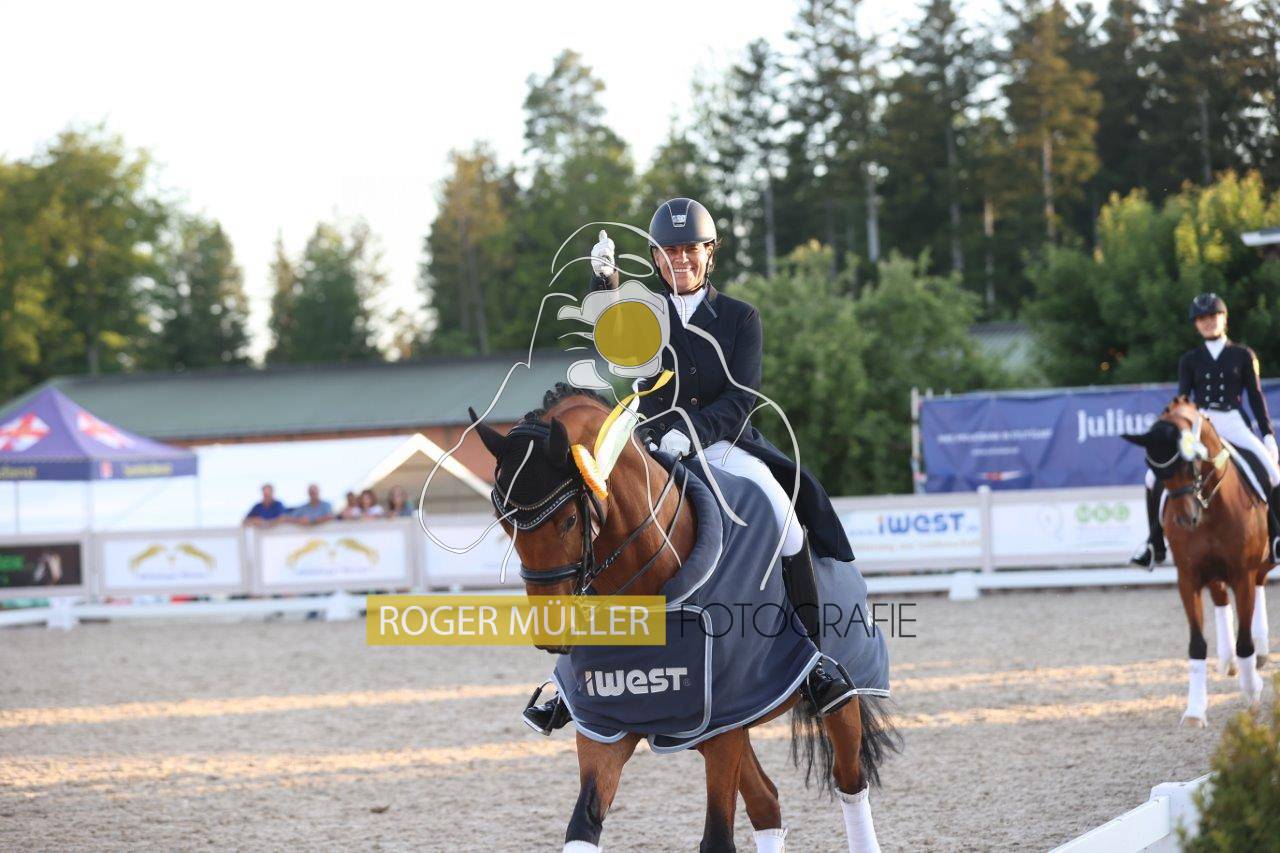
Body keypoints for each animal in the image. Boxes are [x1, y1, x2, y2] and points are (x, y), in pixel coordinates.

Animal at [472, 384, 896, 852]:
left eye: (567, 520)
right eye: (504, 523)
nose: (554, 634)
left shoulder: (724, 724)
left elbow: (717, 838)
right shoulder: (606, 724)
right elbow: (582, 826)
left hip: (833, 698)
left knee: (849, 779)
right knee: (767, 802)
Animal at [1123, 396, 1273, 726]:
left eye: (1189, 462)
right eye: (1152, 467)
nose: (1184, 520)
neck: (1211, 505)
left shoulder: (1242, 574)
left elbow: (1245, 641)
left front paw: (1252, 693)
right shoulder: (1189, 578)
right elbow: (1197, 644)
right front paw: (1194, 711)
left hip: (1260, 565)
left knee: (1258, 589)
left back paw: (1261, 652)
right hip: (1214, 575)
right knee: (1221, 601)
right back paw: (1228, 660)